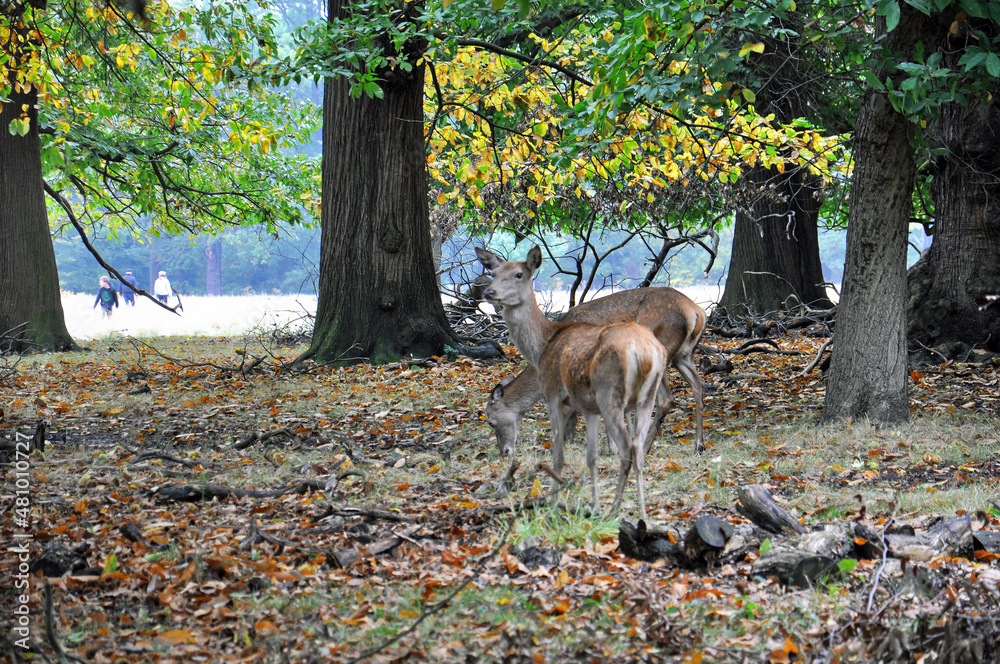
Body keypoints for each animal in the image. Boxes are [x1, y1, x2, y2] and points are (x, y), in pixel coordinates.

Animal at [480, 246, 668, 516]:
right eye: (493, 273)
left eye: (491, 421)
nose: (505, 452)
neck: (544, 345)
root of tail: (644, 352)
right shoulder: (588, 407)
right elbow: (591, 457)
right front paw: (593, 503)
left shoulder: (554, 396)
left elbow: (558, 453)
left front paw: (551, 502)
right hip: (645, 398)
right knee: (639, 449)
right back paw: (641, 514)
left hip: (609, 394)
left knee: (628, 448)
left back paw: (615, 510)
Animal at [482, 288, 704, 460]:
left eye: (491, 421)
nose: (504, 452)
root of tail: (696, 312)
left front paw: (612, 448)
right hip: (684, 355)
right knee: (698, 386)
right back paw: (698, 446)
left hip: (659, 352)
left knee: (666, 399)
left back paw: (645, 448)